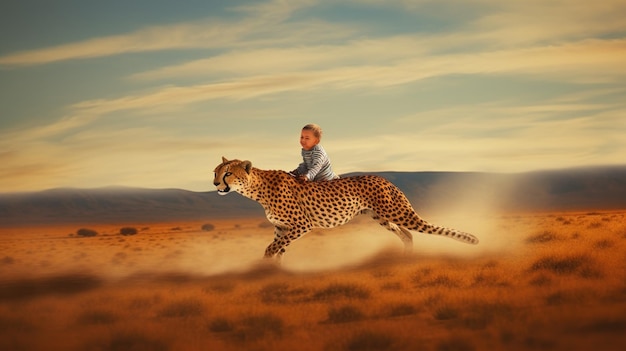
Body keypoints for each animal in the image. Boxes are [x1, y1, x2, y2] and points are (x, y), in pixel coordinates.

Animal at [212, 158, 476, 262]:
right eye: (215, 172)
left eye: (228, 173)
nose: (215, 184)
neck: (257, 189)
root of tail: (384, 179)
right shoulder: (282, 228)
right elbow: (278, 249)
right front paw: (271, 269)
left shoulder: (301, 225)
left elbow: (271, 248)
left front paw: (265, 265)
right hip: (381, 217)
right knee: (407, 234)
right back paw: (404, 258)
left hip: (398, 212)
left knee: (426, 228)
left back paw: (471, 239)